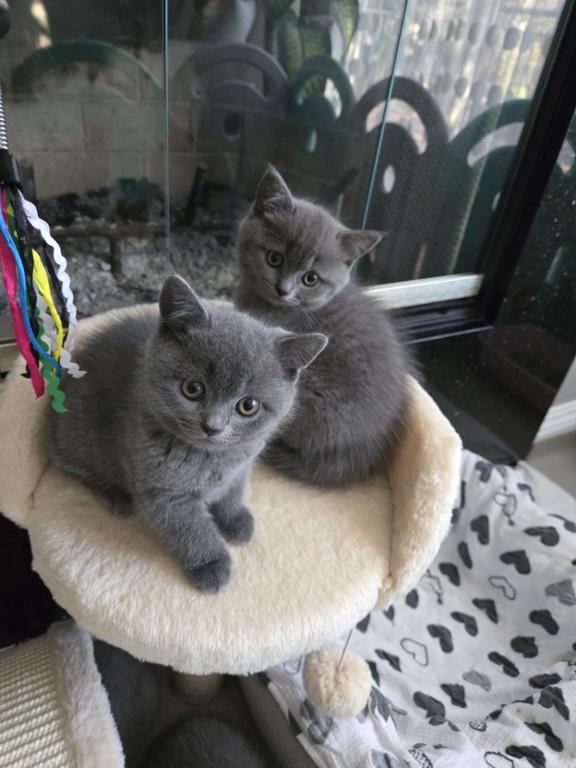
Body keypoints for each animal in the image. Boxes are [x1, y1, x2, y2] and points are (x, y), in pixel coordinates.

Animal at [50, 275, 327, 592]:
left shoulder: (242, 464)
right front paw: (211, 564)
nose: (213, 426)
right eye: (192, 389)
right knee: (74, 466)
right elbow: (191, 529)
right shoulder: (163, 493)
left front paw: (235, 519)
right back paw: (117, 497)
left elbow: (233, 490)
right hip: (79, 439)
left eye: (248, 406)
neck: (212, 458)